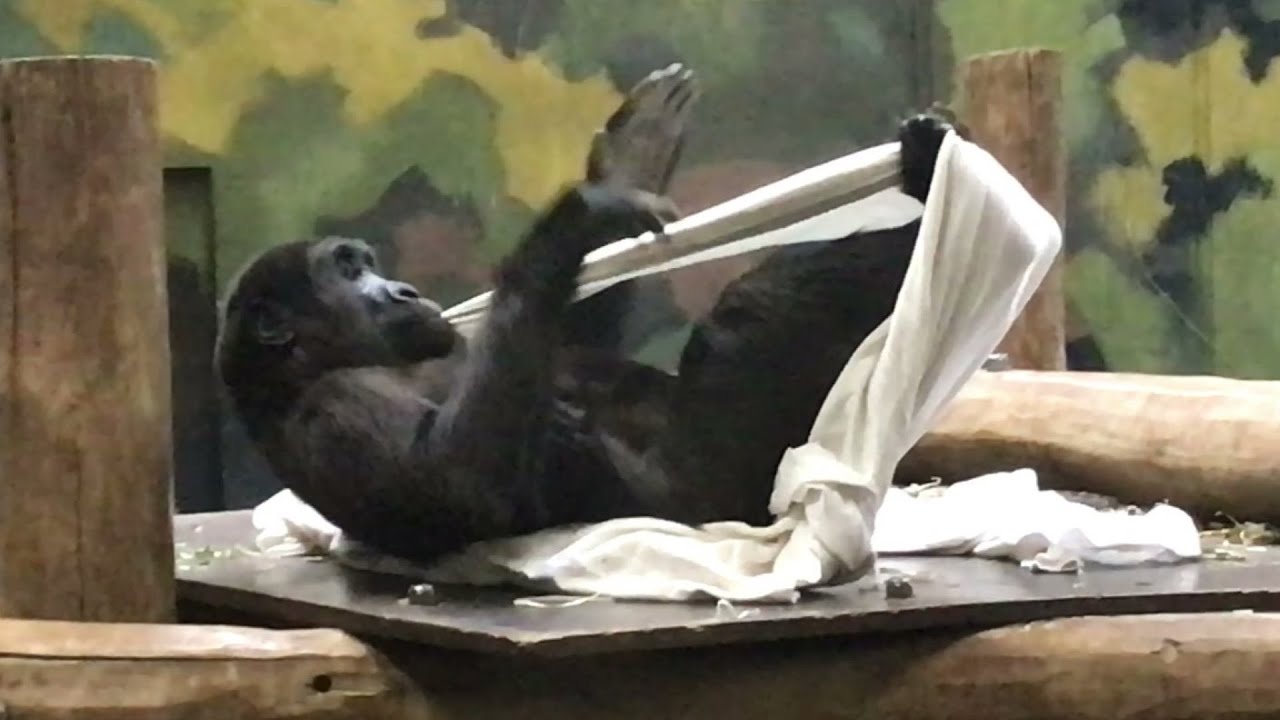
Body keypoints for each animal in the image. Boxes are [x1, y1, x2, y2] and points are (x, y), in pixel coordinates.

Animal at [215, 70, 954, 565]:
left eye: (364, 262)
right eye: (347, 272)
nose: (399, 288)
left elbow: (572, 336)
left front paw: (630, 156)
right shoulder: (333, 410)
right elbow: (460, 483)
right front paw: (577, 217)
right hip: (736, 493)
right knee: (748, 315)